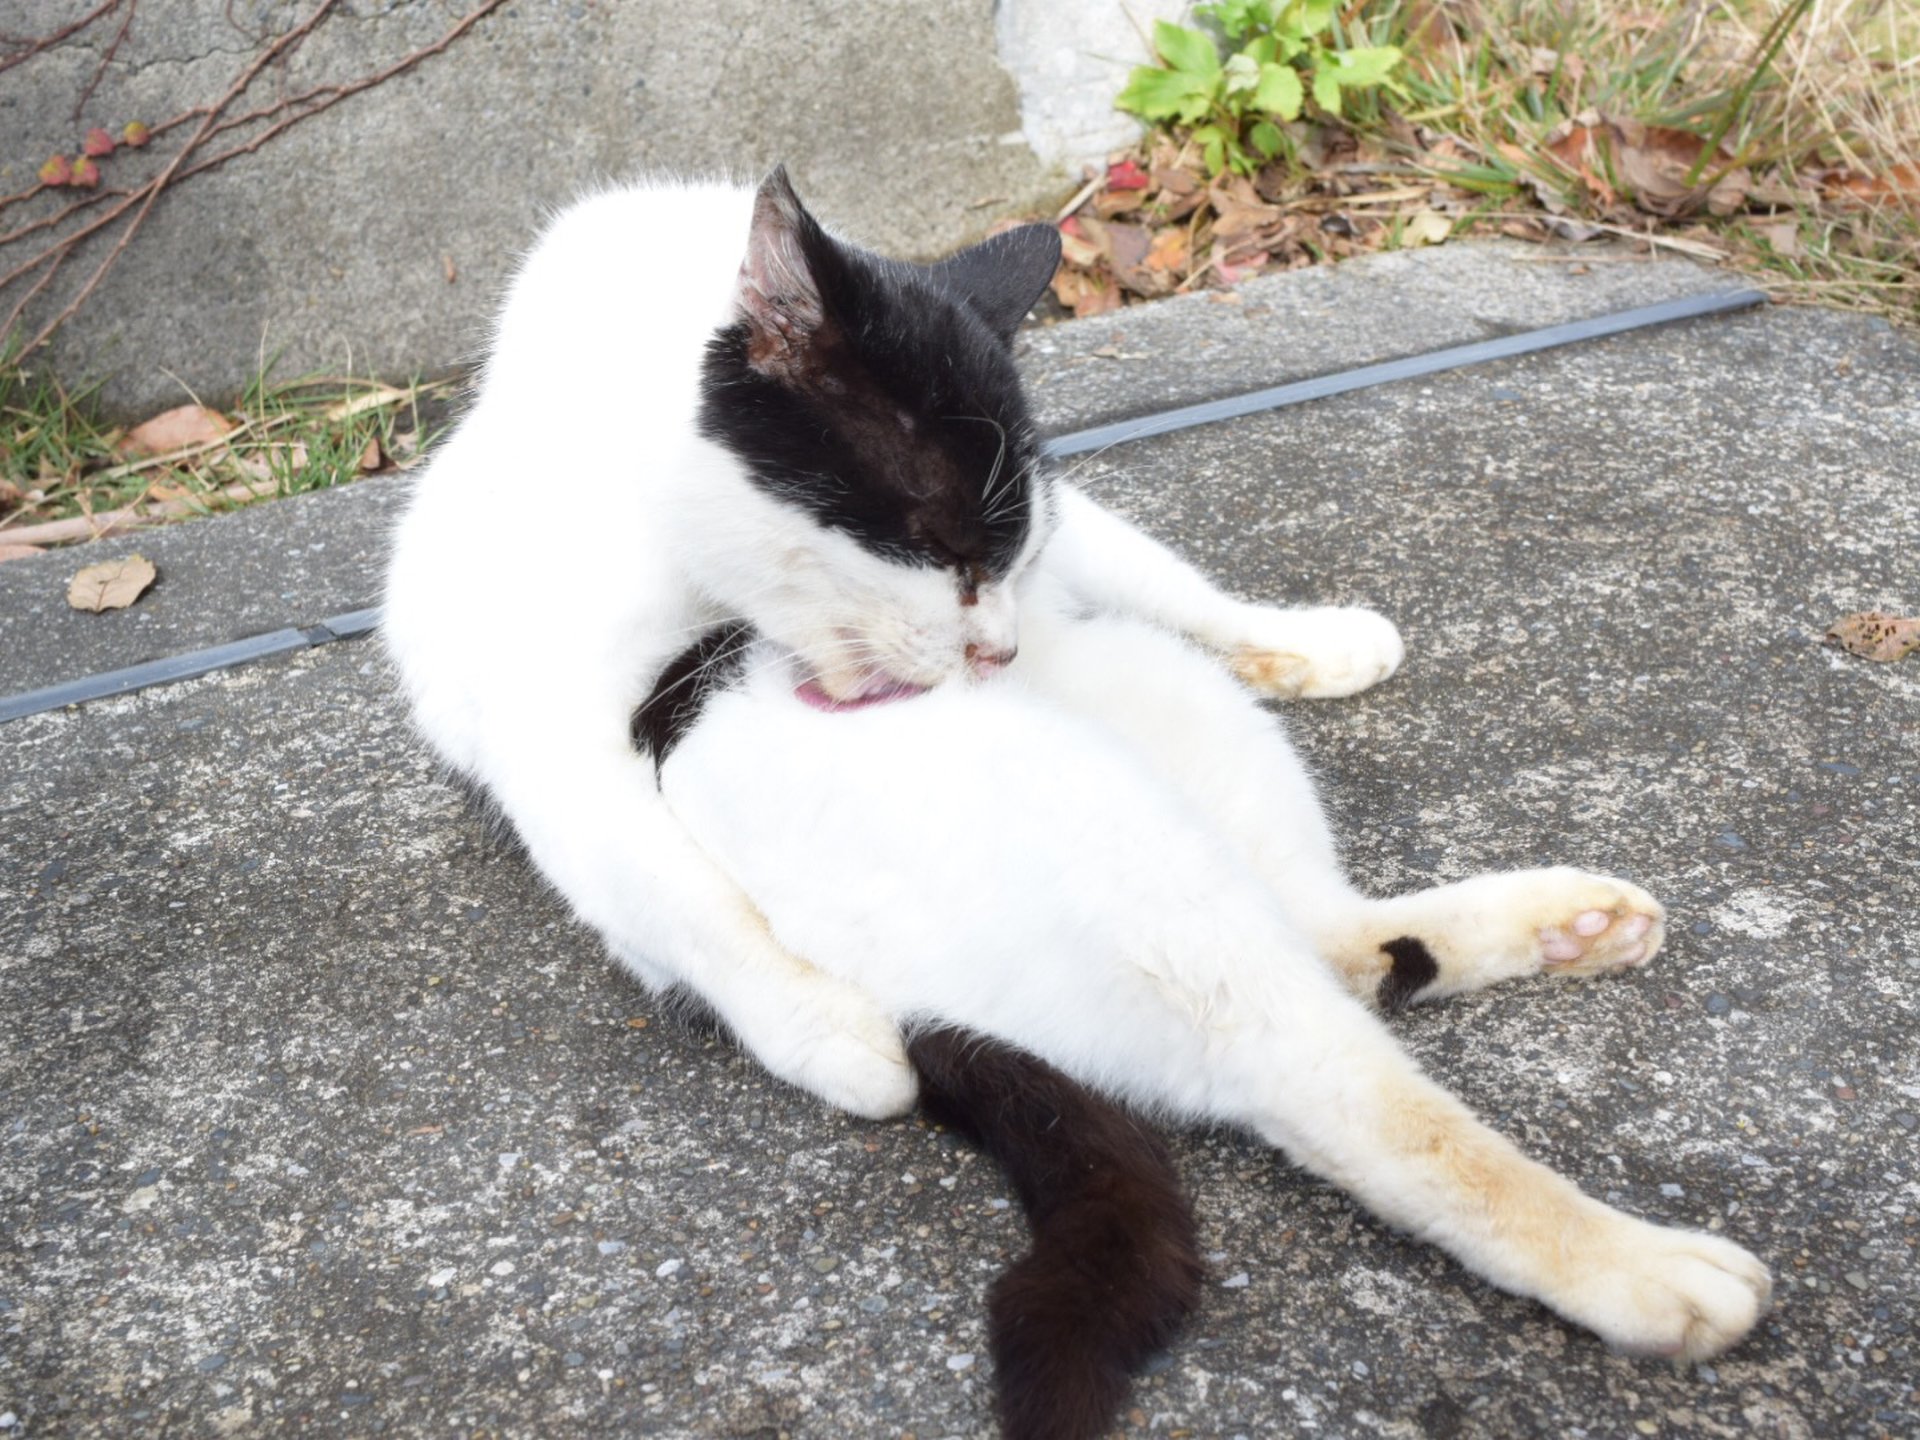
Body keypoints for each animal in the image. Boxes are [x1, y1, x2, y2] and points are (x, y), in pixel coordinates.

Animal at [385, 171, 1766, 1440]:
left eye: (1005, 554)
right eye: (944, 548)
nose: (996, 650)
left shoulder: (1072, 536)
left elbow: (1154, 565)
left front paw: (1302, 638)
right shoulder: (556, 742)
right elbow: (673, 901)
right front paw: (824, 1038)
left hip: (1168, 714)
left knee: (1334, 934)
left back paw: (1559, 925)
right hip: (1101, 864)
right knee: (1330, 1081)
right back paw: (1638, 1270)